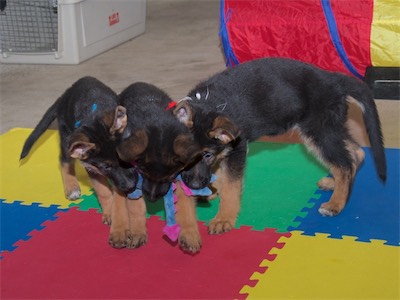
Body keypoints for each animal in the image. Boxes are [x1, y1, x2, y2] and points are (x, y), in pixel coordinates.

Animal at [173, 56, 386, 234]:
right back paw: (334, 183)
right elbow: (220, 174)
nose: (193, 185)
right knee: (355, 153)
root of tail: (333, 79)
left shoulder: (237, 150)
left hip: (319, 131)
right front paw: (212, 190)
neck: (208, 104)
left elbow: (231, 187)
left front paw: (223, 218)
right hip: (329, 128)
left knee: (344, 165)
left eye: (207, 155)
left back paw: (336, 204)